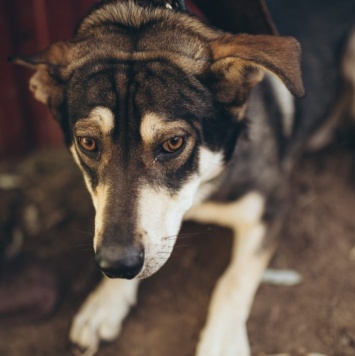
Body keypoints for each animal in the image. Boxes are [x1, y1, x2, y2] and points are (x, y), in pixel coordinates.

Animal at [11, 1, 308, 354]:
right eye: (88, 142)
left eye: (174, 142)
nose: (117, 264)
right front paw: (105, 302)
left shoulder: (271, 204)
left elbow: (233, 280)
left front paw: (221, 341)